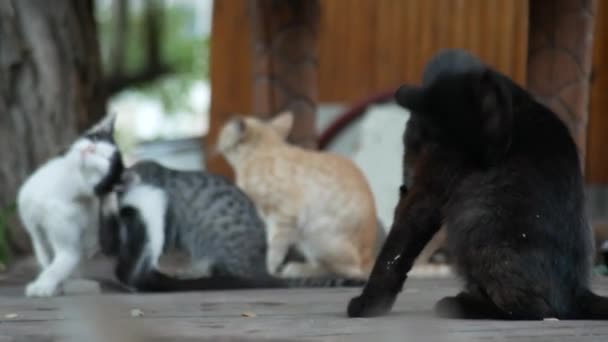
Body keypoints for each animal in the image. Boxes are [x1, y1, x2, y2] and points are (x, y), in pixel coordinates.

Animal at [17, 113, 123, 296]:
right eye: (95, 139)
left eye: (105, 160)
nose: (90, 149)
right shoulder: (35, 230)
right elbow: (44, 256)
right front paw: (53, 285)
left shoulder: (70, 246)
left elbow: (60, 264)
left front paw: (42, 286)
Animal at [217, 111, 380, 280]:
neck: (264, 150)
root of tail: (370, 258)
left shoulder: (285, 211)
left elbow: (276, 244)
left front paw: (272, 267)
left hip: (313, 235)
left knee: (343, 271)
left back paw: (297, 269)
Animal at [346, 49, 608, 320]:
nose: (483, 152)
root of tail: (575, 294)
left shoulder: (427, 187)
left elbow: (395, 250)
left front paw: (368, 304)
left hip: (477, 217)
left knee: (531, 308)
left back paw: (459, 304)